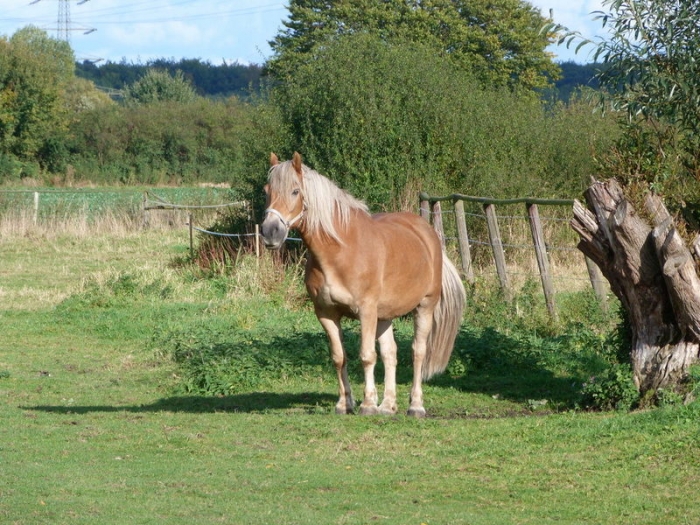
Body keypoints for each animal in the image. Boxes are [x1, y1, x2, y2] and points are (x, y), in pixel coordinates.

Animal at [260, 152, 465, 417]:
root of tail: (427, 233)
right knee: (390, 353)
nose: (270, 232)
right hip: (384, 315)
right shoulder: (326, 313)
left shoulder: (366, 311)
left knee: (418, 352)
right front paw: (344, 404)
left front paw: (367, 405)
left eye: (295, 191)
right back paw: (387, 405)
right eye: (267, 191)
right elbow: (340, 357)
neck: (341, 251)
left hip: (424, 307)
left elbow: (367, 355)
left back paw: (415, 406)